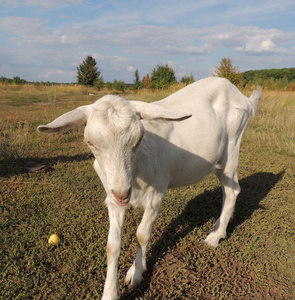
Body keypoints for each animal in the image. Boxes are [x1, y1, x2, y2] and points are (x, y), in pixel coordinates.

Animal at [38, 76, 262, 298]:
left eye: (138, 139)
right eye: (90, 142)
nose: (123, 194)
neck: (137, 168)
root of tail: (241, 96)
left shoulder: (156, 194)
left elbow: (142, 234)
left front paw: (136, 274)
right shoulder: (112, 197)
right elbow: (112, 245)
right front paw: (110, 292)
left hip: (232, 146)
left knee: (232, 190)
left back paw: (216, 236)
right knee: (226, 188)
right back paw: (219, 225)